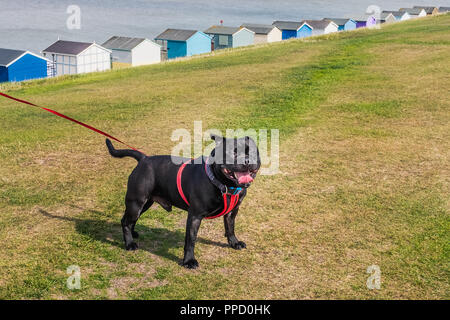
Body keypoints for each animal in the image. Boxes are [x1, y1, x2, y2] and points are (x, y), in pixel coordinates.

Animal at [105, 134, 260, 268]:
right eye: (232, 153)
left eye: (253, 153)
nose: (247, 160)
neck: (223, 184)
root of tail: (144, 158)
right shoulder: (195, 216)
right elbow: (191, 240)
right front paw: (189, 261)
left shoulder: (232, 212)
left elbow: (230, 228)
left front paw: (234, 242)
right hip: (136, 203)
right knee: (126, 221)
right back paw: (129, 244)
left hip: (145, 203)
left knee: (130, 220)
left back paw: (133, 234)